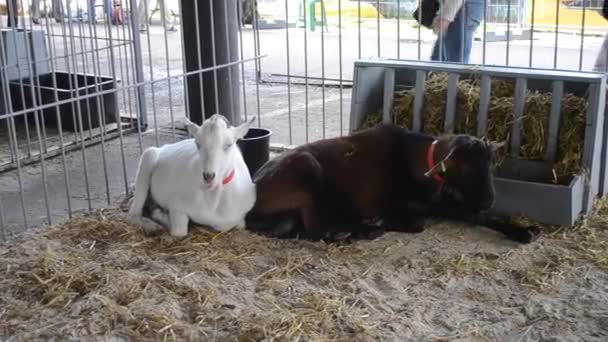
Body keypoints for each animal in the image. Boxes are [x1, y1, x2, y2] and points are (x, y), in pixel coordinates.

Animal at [129, 113, 258, 236]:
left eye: (229, 144)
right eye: (197, 143)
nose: (208, 176)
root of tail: (166, 146)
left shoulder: (240, 216)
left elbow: (237, 226)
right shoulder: (177, 205)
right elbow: (179, 231)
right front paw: (162, 217)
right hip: (148, 157)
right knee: (133, 214)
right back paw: (152, 225)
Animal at [245, 123, 540, 243]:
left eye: (490, 164)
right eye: (467, 167)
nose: (489, 200)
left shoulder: (443, 203)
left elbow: (475, 216)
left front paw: (523, 230)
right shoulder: (394, 204)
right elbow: (418, 224)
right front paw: (382, 222)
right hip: (307, 172)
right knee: (315, 228)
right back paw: (360, 231)